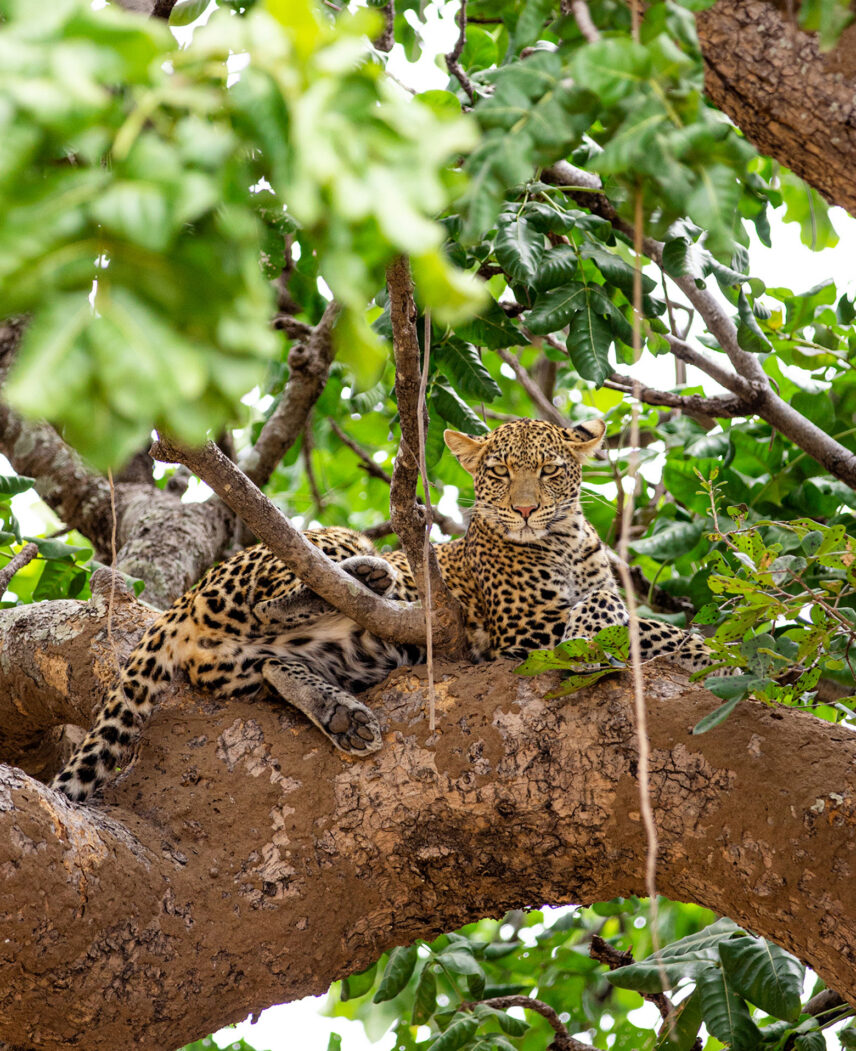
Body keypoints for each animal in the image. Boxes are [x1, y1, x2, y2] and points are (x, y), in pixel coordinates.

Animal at [52, 416, 717, 803]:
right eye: (499, 473)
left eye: (551, 471)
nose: (526, 510)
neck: (566, 539)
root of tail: (183, 602)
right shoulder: (527, 632)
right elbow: (641, 623)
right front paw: (702, 646)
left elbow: (621, 607)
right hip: (312, 549)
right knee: (281, 599)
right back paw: (374, 576)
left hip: (310, 659)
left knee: (272, 664)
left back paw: (340, 713)